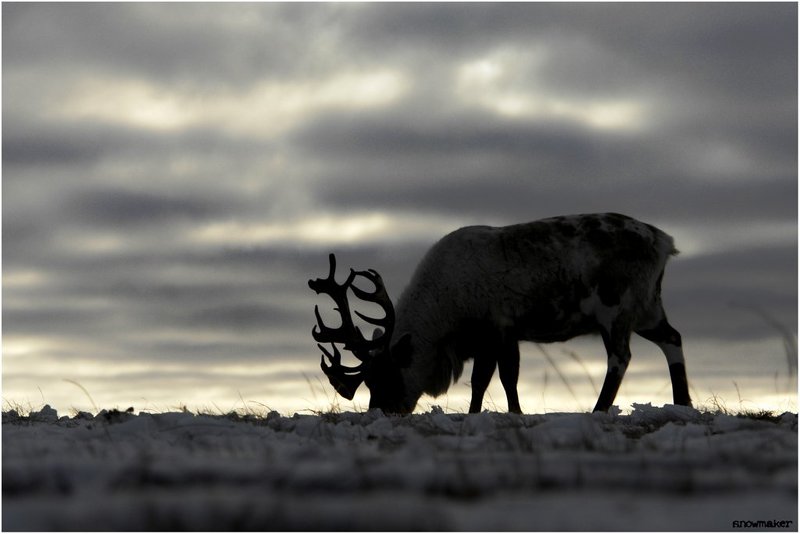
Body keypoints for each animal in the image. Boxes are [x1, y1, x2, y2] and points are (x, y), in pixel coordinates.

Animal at [309, 212, 691, 414]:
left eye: (387, 375)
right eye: (368, 381)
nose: (382, 412)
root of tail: (665, 243)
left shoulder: (500, 328)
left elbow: (505, 377)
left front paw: (514, 412)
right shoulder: (486, 339)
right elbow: (481, 381)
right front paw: (476, 412)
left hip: (616, 308)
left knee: (620, 358)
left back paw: (599, 410)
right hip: (648, 307)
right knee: (673, 338)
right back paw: (683, 403)